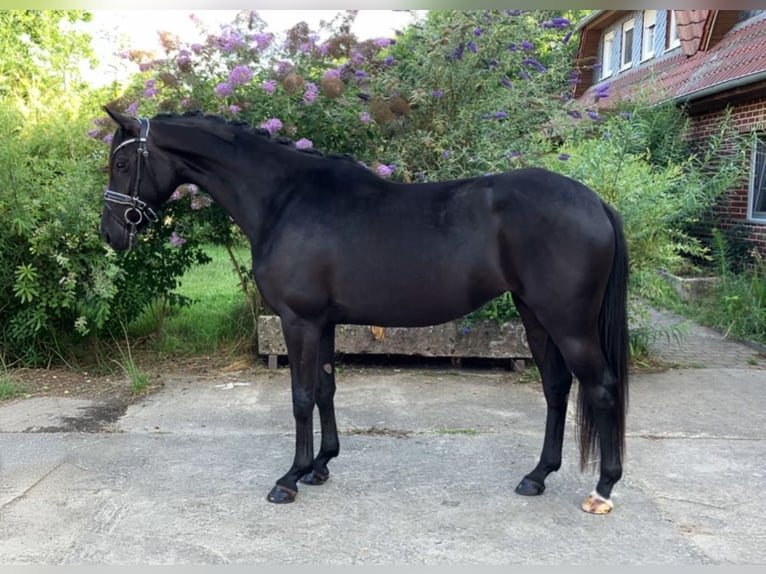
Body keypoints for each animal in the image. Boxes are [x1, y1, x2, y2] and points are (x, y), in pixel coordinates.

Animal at [99, 108, 629, 515]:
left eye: (122, 162)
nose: (111, 233)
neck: (284, 200)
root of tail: (596, 202)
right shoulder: (324, 323)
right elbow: (325, 390)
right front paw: (321, 466)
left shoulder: (299, 321)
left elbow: (301, 396)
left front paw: (289, 478)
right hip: (535, 315)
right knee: (556, 387)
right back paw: (537, 476)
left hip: (569, 323)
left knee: (601, 389)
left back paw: (603, 489)